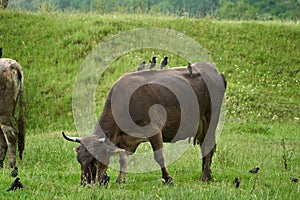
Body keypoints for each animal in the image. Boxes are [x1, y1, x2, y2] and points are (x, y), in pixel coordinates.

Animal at [63, 61, 227, 185]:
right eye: (79, 161)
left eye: (95, 161)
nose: (84, 184)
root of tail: (212, 69)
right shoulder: (126, 140)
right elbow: (123, 159)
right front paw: (120, 180)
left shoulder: (154, 130)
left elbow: (159, 157)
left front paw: (168, 179)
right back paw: (207, 174)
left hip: (210, 119)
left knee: (207, 146)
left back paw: (204, 177)